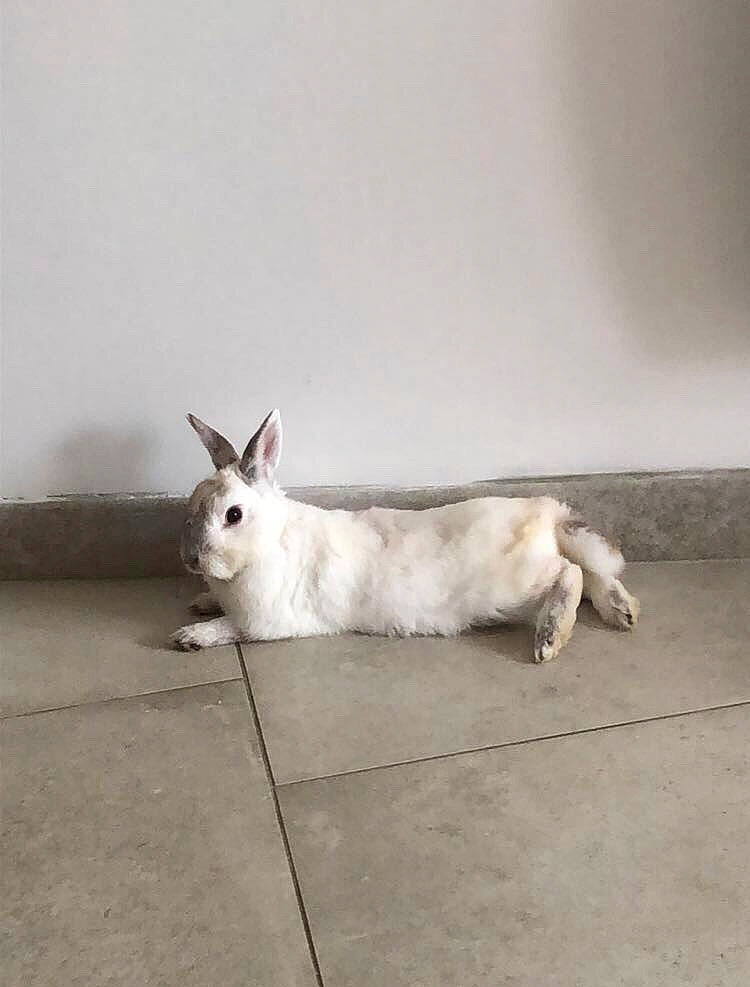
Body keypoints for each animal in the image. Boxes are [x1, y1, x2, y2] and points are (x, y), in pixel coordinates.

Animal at [171, 410, 640, 662]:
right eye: (192, 504)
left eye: (233, 515)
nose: (190, 559)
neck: (267, 543)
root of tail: (545, 512)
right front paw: (200, 602)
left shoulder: (266, 621)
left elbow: (231, 628)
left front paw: (190, 637)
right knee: (594, 572)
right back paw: (623, 612)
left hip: (522, 582)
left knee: (571, 573)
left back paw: (550, 638)